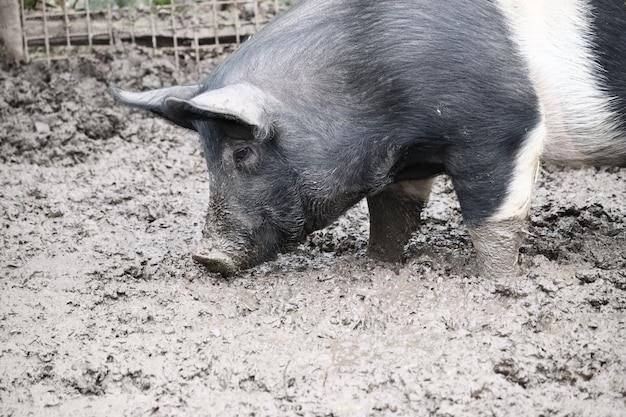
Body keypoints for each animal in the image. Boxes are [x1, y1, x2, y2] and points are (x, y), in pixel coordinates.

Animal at [109, 0, 620, 276]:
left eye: (243, 151)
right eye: (205, 156)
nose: (205, 256)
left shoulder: (501, 127)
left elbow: (492, 218)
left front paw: (500, 283)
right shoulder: (406, 160)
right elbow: (392, 215)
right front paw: (374, 265)